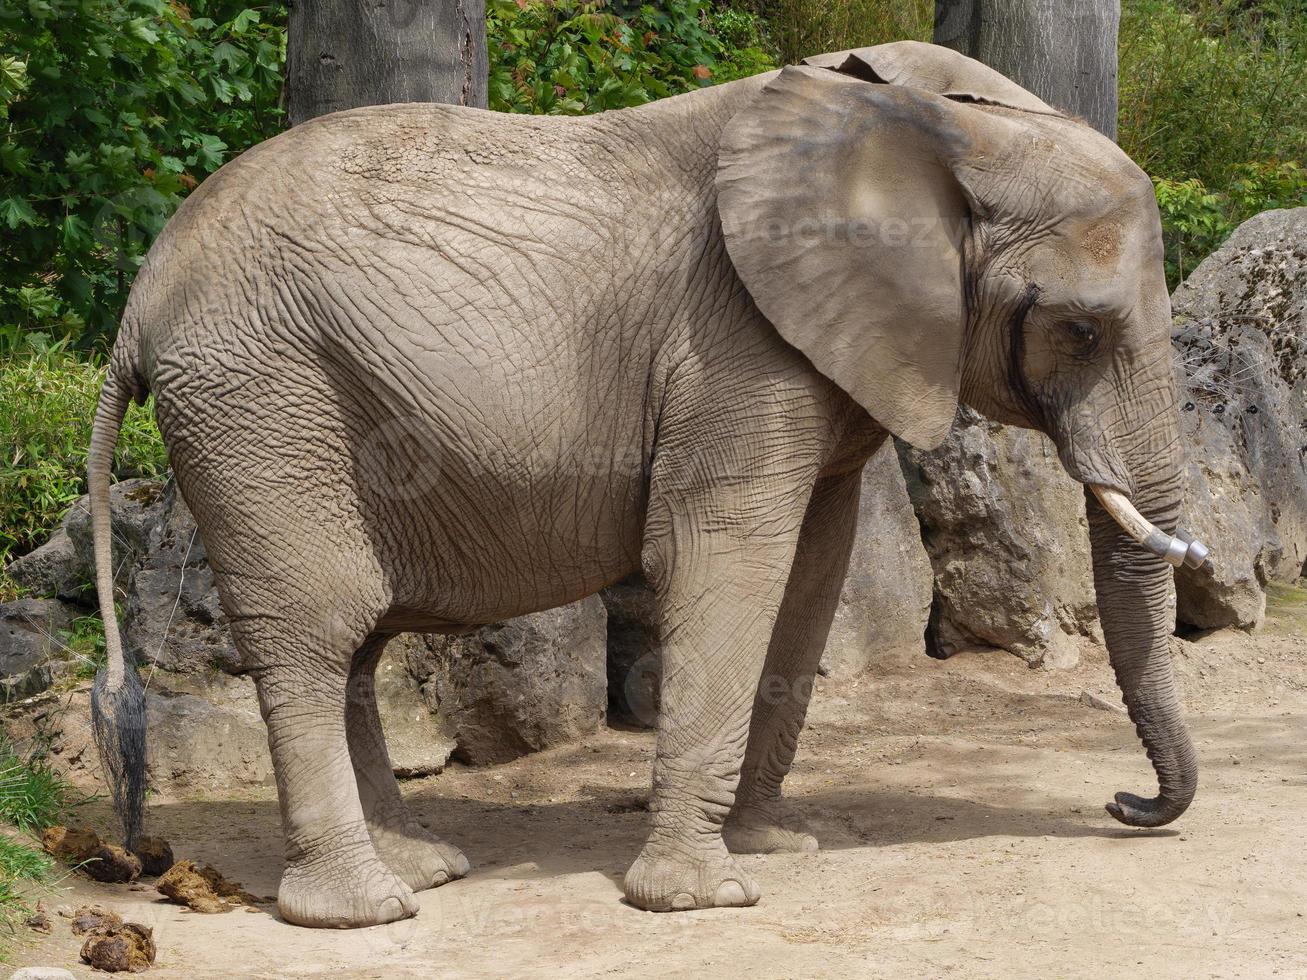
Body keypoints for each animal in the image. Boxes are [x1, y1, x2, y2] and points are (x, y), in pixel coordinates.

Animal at [86, 40, 1212, 930]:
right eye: (1080, 328)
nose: (1122, 804)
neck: (944, 126)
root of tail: (139, 302)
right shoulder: (736, 343)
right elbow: (727, 559)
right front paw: (705, 898)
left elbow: (809, 574)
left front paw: (772, 849)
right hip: (261, 403)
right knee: (315, 627)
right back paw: (365, 909)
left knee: (356, 635)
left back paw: (424, 867)